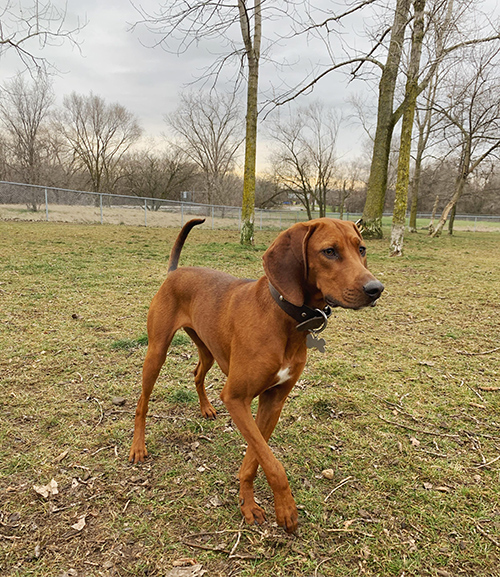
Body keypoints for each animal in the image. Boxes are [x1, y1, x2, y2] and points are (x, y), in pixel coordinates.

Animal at [128, 216, 382, 532]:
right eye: (329, 251)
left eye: (361, 249)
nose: (376, 289)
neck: (285, 318)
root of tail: (176, 271)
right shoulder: (236, 398)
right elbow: (272, 462)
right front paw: (285, 508)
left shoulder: (273, 401)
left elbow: (255, 457)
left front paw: (248, 503)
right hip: (157, 352)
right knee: (142, 402)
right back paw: (138, 447)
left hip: (209, 350)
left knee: (197, 373)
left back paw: (206, 408)